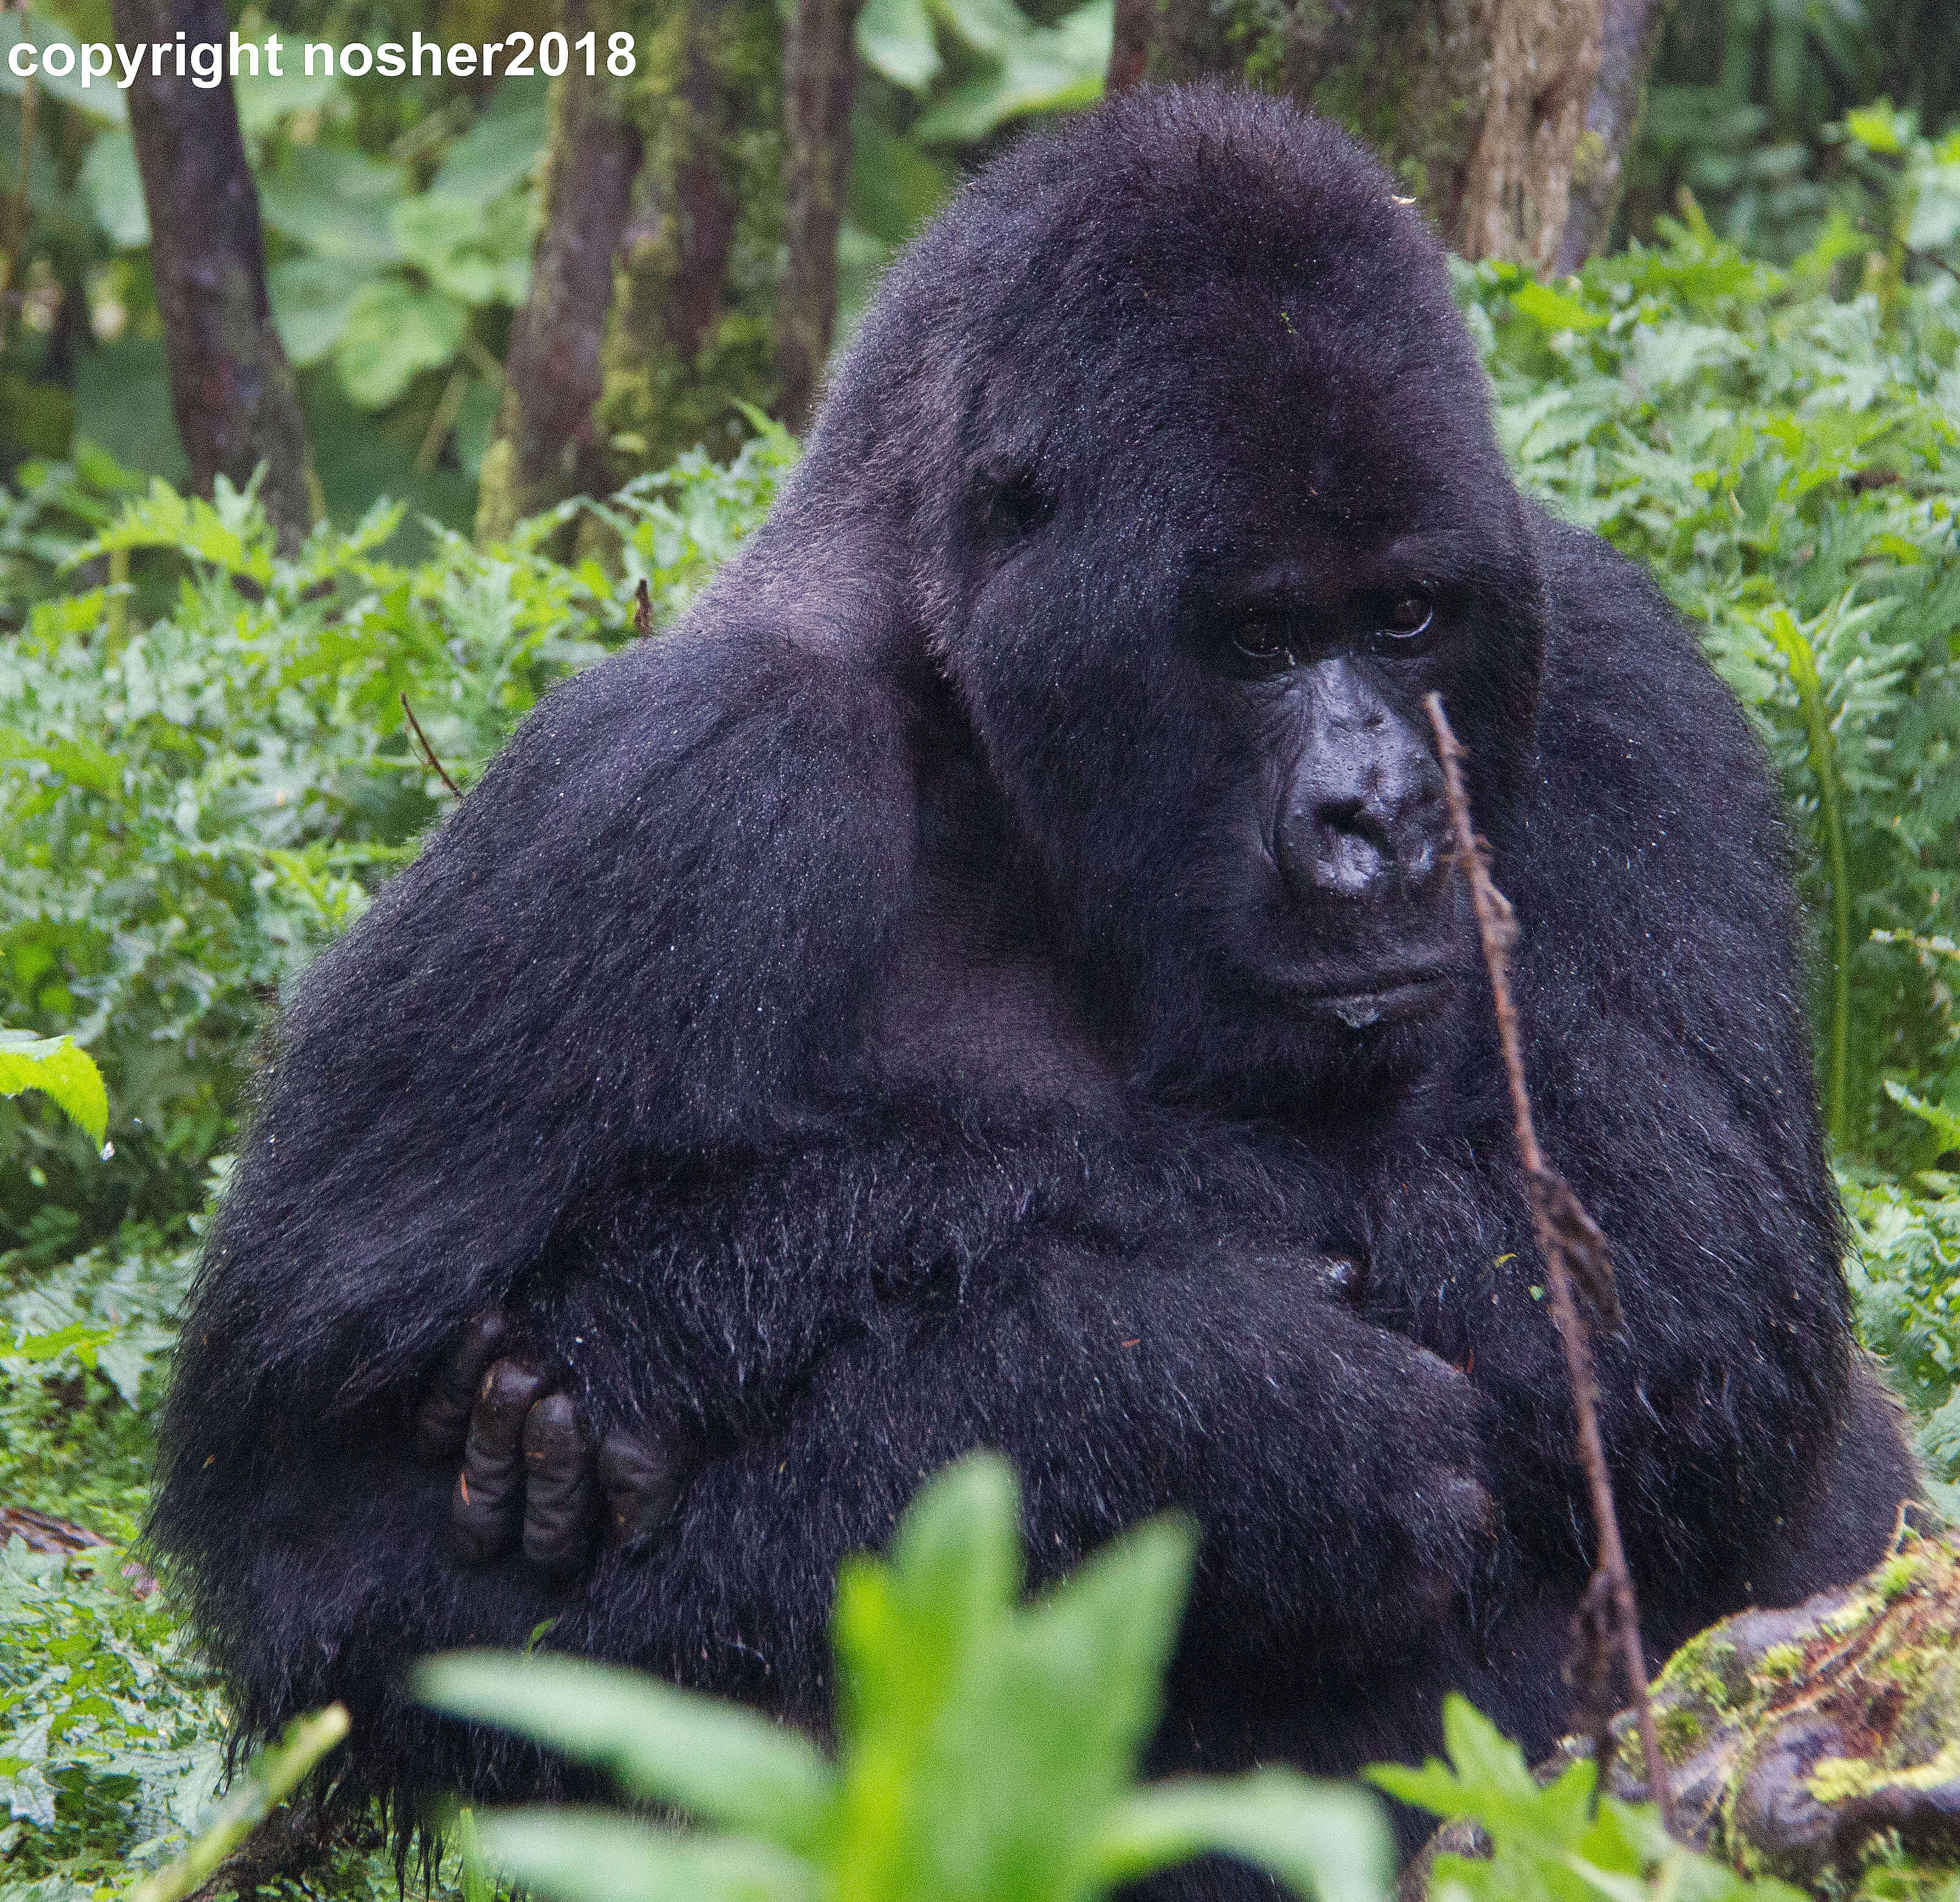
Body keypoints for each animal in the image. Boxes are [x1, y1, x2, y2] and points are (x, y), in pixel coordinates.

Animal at [153, 85, 1913, 1866]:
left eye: (1409, 618)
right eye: (1259, 640)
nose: (1384, 813)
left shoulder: (1621, 682)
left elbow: (1691, 1297)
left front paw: (692, 1287)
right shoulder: (666, 789)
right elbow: (343, 1540)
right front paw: (1219, 1415)